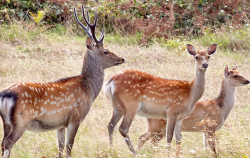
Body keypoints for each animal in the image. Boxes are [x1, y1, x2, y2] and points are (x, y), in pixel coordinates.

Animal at [0, 5, 125, 158]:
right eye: (106, 51)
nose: (122, 59)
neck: (87, 89)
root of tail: (4, 95)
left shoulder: (59, 124)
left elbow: (60, 148)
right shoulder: (75, 117)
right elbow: (69, 147)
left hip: (6, 123)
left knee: (3, 142)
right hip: (20, 120)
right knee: (7, 143)